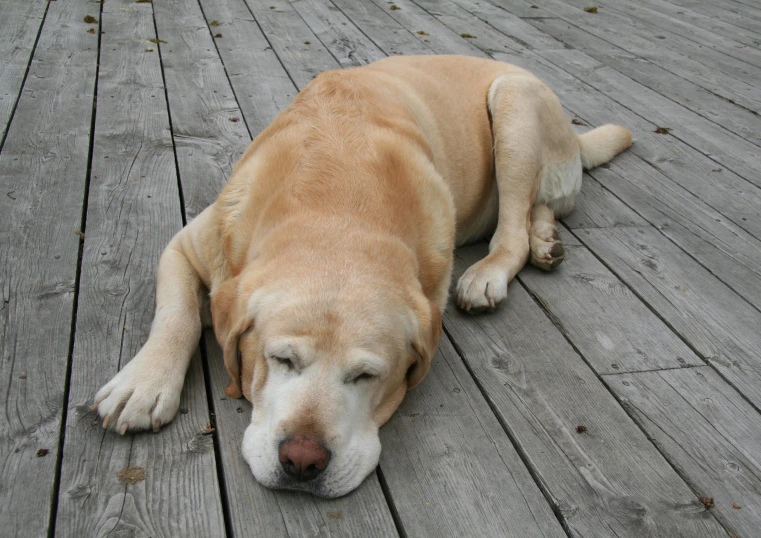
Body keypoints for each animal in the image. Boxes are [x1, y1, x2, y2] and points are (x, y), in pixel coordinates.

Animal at [95, 54, 628, 494]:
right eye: (281, 360)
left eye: (367, 375)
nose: (302, 461)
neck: (339, 203)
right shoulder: (185, 246)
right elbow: (177, 314)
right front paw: (143, 384)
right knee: (543, 208)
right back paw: (546, 242)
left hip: (513, 100)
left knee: (513, 227)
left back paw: (491, 272)